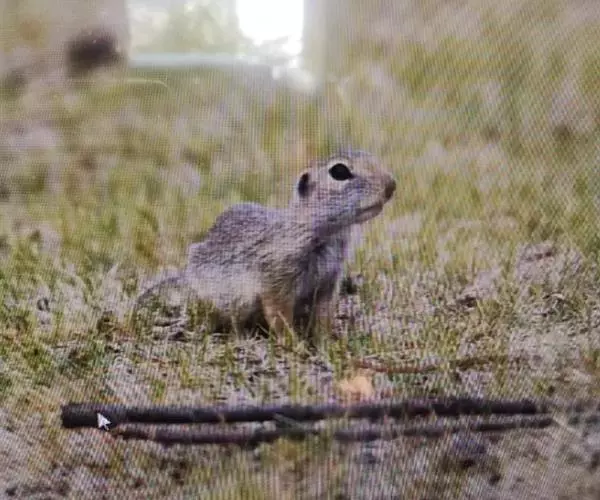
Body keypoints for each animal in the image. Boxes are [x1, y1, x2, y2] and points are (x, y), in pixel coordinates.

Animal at [133, 150, 396, 338]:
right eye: (339, 171)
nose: (391, 185)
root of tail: (186, 277)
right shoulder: (276, 278)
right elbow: (279, 315)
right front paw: (295, 346)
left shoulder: (328, 283)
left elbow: (322, 317)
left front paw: (325, 344)